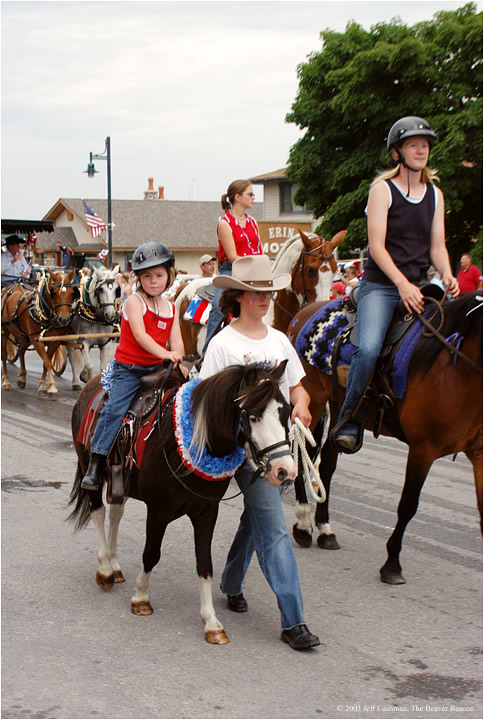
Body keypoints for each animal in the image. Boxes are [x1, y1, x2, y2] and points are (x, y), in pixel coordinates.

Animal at [1, 268, 77, 396]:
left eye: (72, 293)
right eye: (54, 292)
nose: (64, 319)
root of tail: (10, 286)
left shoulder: (54, 341)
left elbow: (47, 363)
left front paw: (42, 385)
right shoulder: (37, 341)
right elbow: (47, 362)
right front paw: (52, 386)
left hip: (25, 336)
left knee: (21, 351)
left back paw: (22, 378)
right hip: (4, 331)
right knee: (4, 355)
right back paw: (6, 381)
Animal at [67, 362, 294, 644]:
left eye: (286, 413)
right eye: (253, 416)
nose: (285, 471)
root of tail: (92, 382)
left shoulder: (206, 513)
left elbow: (205, 564)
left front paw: (212, 622)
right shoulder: (159, 511)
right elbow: (151, 554)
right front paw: (141, 598)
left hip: (122, 482)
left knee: (116, 513)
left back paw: (115, 565)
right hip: (89, 467)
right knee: (97, 512)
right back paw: (105, 570)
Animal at [286, 292, 482, 584]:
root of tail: (304, 311)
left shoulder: (479, 454)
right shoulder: (423, 449)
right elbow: (408, 505)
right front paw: (392, 564)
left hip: (338, 411)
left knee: (327, 465)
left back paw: (325, 529)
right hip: (311, 402)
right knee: (300, 457)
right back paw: (303, 524)